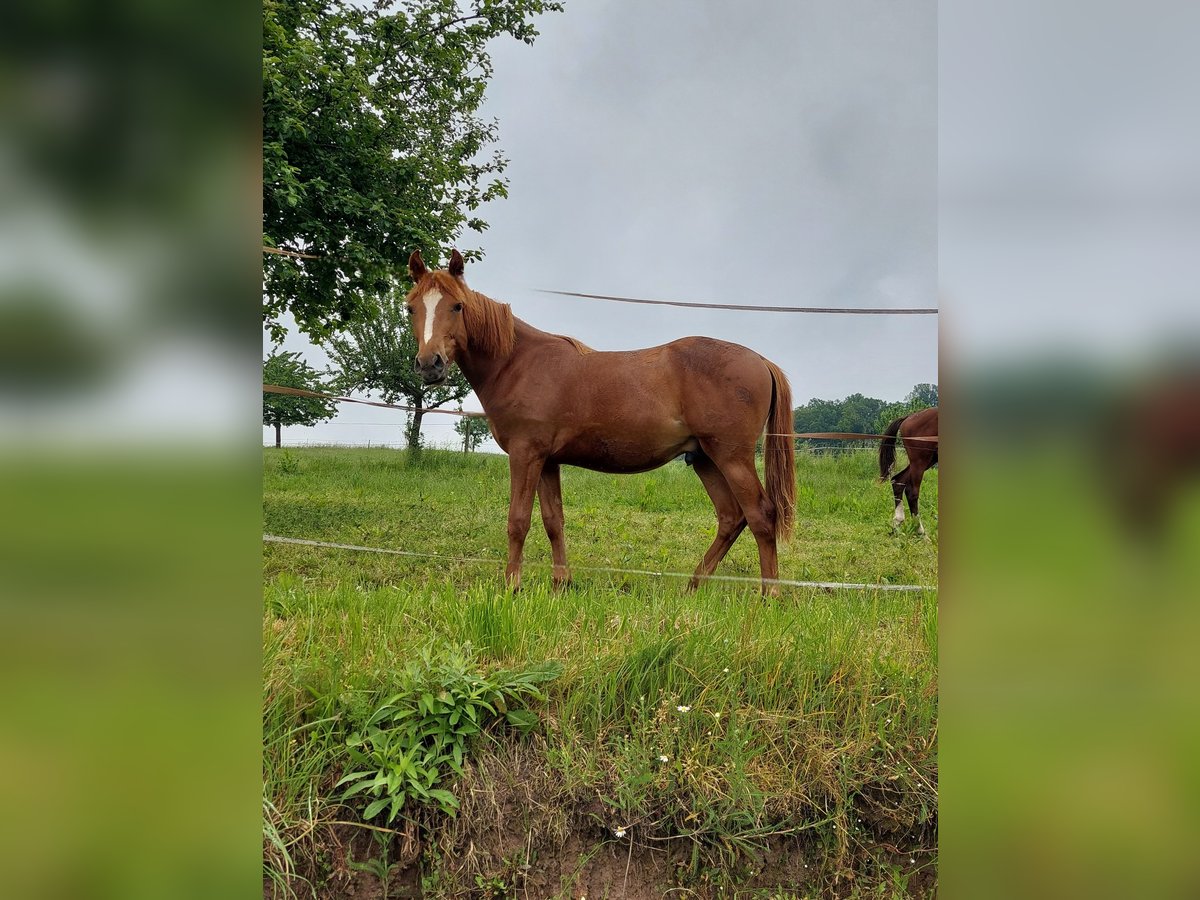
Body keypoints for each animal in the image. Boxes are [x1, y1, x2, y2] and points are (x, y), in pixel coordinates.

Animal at [405, 250, 796, 595]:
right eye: (411, 307)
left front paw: (511, 587)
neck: (518, 363)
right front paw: (561, 584)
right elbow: (554, 522)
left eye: (457, 306)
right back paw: (693, 586)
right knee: (731, 517)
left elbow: (518, 521)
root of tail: (760, 360)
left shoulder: (525, 454)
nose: (429, 364)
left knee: (761, 515)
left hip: (731, 457)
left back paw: (770, 595)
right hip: (704, 459)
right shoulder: (547, 461)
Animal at [883, 412, 936, 540]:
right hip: (920, 460)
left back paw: (897, 525)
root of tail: (908, 418)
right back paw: (921, 532)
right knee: (912, 492)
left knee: (898, 480)